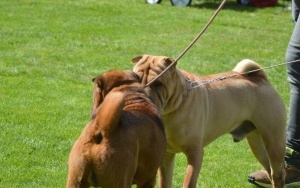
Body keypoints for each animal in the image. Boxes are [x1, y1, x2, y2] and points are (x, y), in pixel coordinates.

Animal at [132, 54, 288, 188]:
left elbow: (188, 182)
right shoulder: (167, 155)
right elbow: (164, 182)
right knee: (269, 170)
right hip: (257, 143)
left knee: (278, 173)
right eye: (136, 79)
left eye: (158, 83)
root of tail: (261, 79)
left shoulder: (195, 154)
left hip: (274, 141)